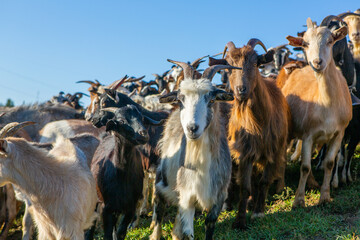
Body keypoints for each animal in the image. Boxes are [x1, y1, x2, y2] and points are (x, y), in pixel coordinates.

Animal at [222, 38, 290, 230]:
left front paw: (258, 211)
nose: (241, 90)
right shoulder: (245, 151)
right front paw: (239, 221)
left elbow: (264, 181)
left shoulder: (275, 150)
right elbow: (245, 187)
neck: (260, 122)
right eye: (228, 67)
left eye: (255, 63)